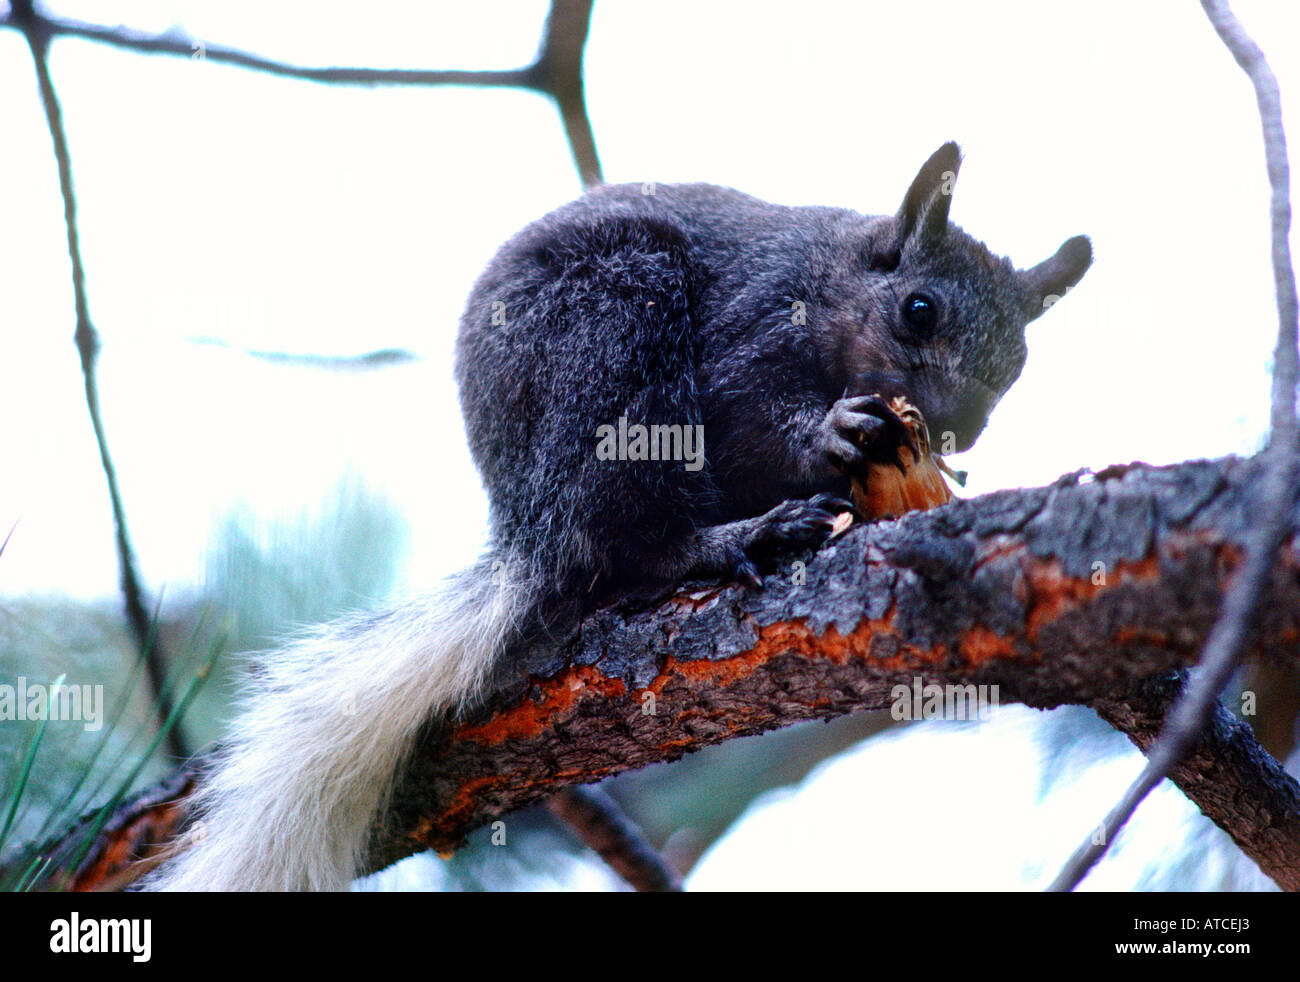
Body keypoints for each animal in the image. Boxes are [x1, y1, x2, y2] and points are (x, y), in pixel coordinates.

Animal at [147, 143, 1092, 889]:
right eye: (918, 310)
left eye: (1018, 365)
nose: (958, 424)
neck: (830, 280)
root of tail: (526, 532)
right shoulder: (750, 335)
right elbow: (754, 418)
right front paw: (832, 433)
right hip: (616, 326)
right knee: (634, 542)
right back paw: (730, 539)